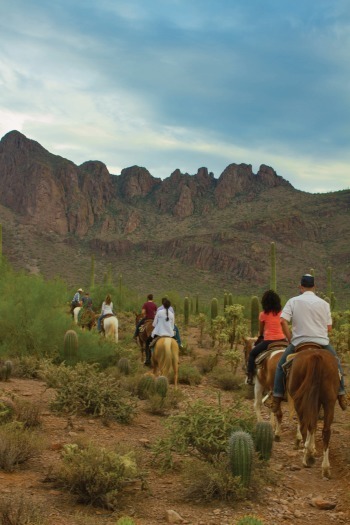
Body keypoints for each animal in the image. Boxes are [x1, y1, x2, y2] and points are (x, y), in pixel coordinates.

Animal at [288, 346, 340, 476]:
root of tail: (315, 355)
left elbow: (309, 426)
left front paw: (310, 450)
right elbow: (315, 425)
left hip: (299, 401)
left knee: (305, 426)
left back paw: (307, 459)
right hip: (329, 402)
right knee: (325, 431)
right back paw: (325, 468)